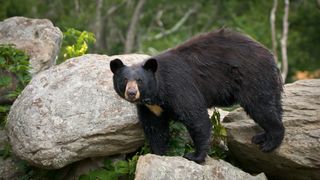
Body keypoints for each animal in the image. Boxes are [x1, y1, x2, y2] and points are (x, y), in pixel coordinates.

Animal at [110, 28, 284, 164]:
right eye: (124, 80)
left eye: (139, 80)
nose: (131, 93)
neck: (157, 93)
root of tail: (270, 55)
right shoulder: (150, 107)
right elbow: (155, 128)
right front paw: (159, 153)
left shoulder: (178, 88)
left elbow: (195, 117)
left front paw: (195, 156)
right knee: (273, 105)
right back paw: (262, 136)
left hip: (252, 77)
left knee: (260, 106)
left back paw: (270, 142)